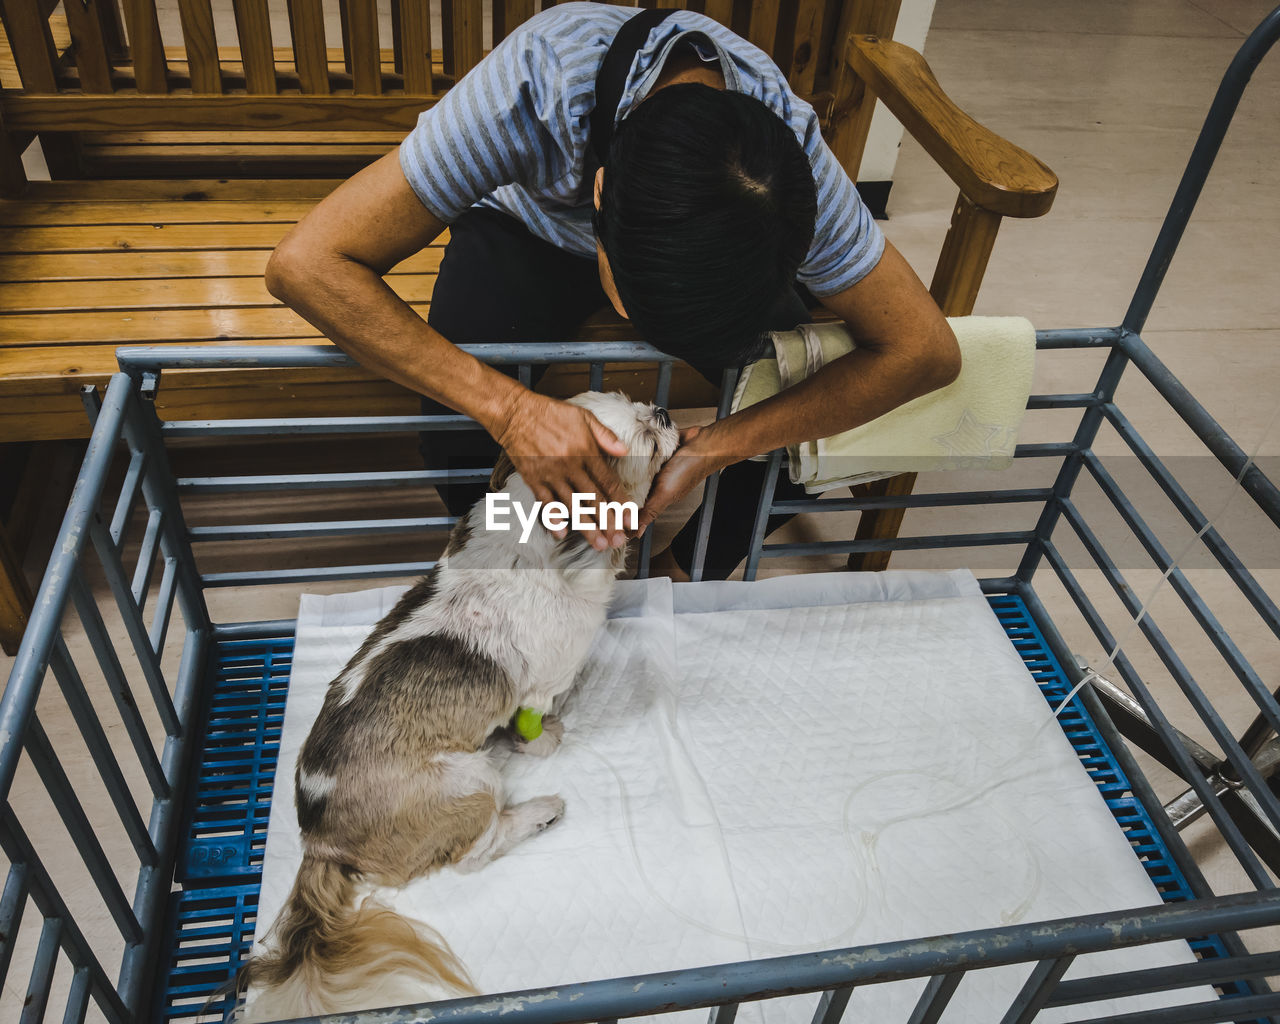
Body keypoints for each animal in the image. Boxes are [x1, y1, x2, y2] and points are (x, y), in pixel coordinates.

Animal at [239, 389, 680, 1013]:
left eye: (634, 400)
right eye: (643, 439)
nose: (663, 413)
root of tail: (320, 839)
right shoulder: (541, 682)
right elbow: (533, 723)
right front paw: (547, 738)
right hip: (468, 783)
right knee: (477, 851)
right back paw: (538, 812)